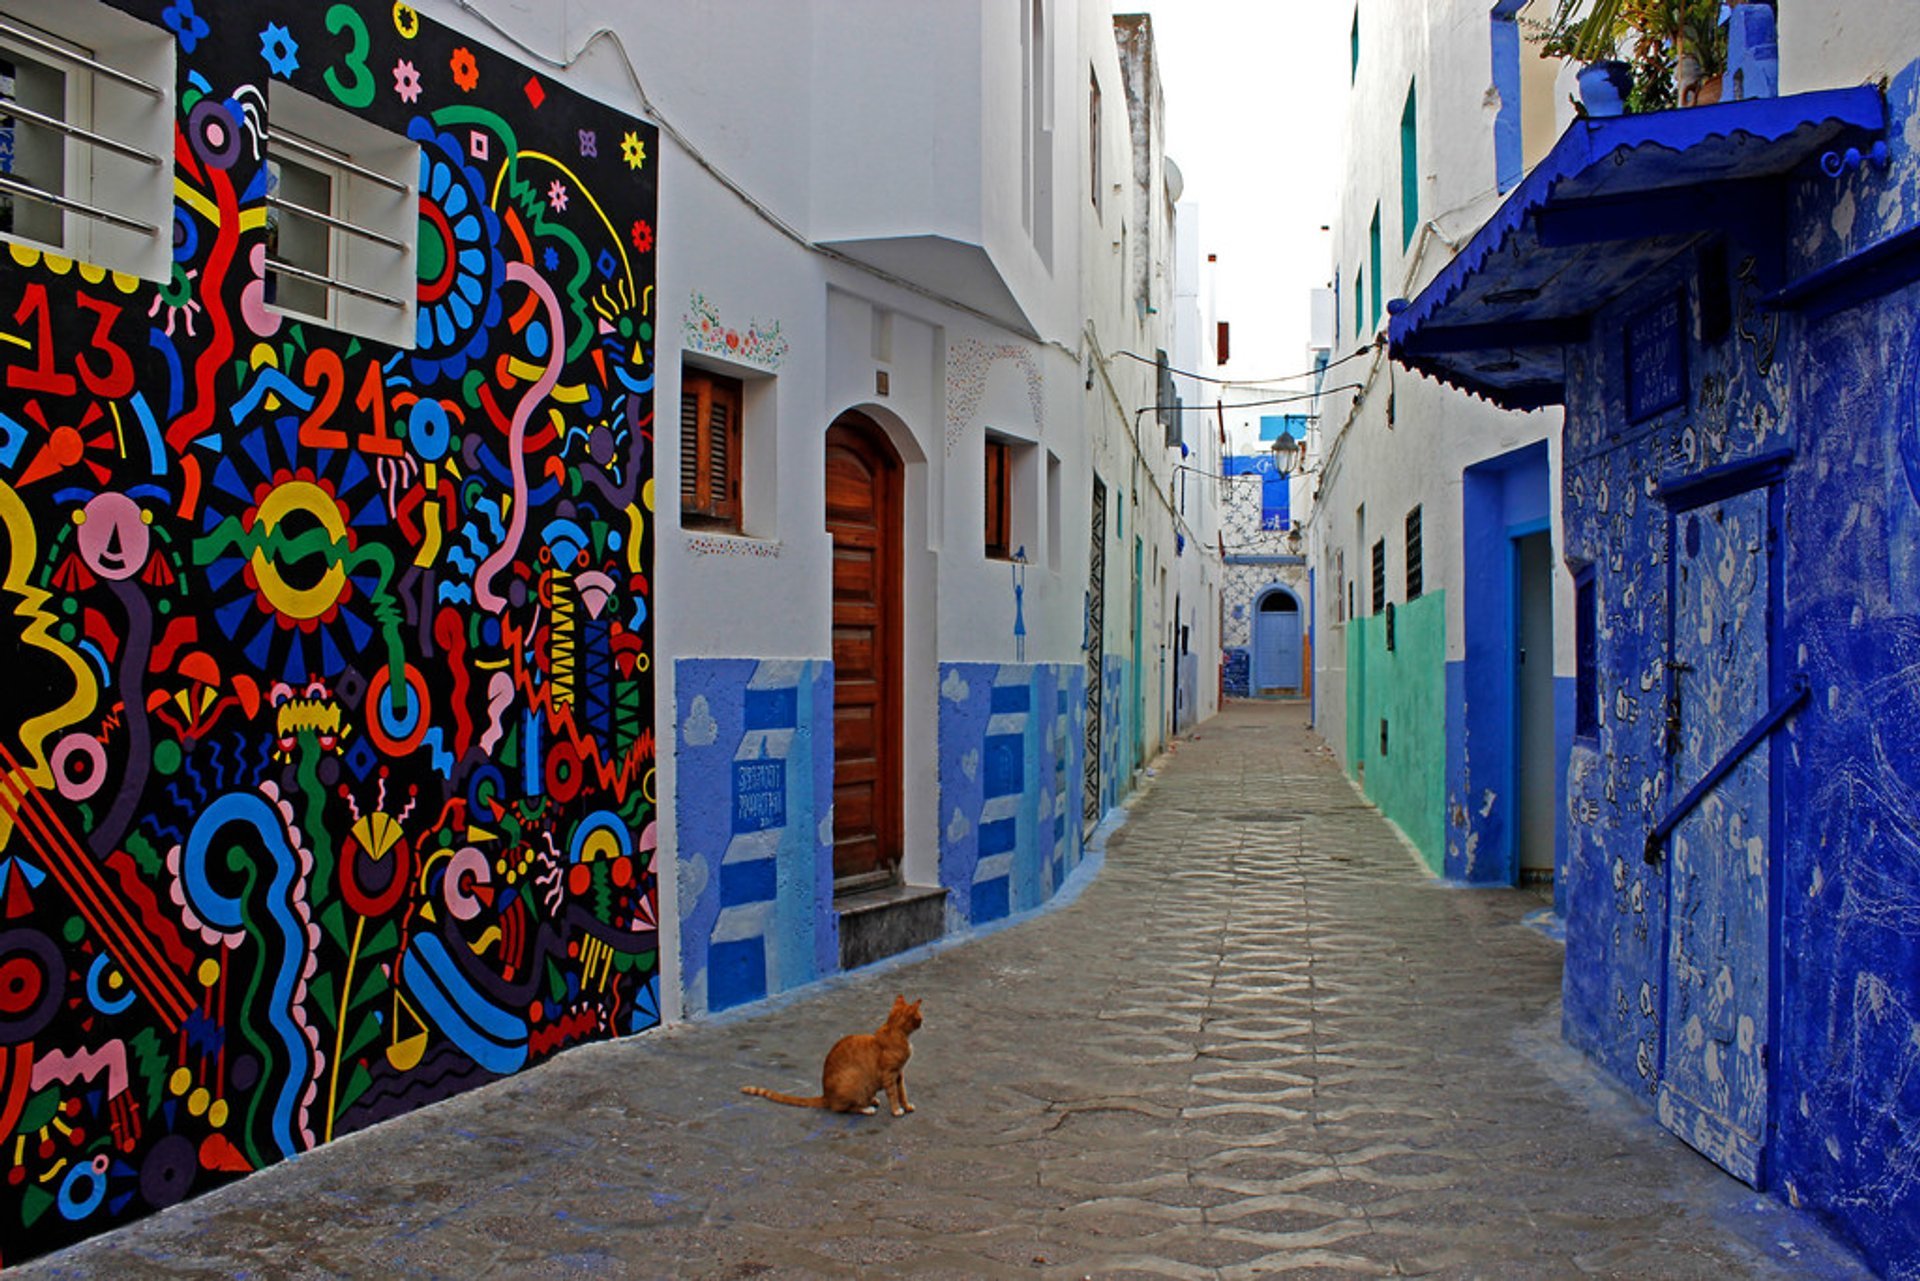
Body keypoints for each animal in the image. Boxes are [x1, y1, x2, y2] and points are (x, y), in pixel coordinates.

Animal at [737, 990, 925, 1113]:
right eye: (920, 1018)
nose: (923, 1022)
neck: (895, 1031)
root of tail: (825, 1095)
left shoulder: (899, 1073)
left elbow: (902, 1092)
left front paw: (906, 1106)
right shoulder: (889, 1074)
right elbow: (893, 1094)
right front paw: (897, 1110)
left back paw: (872, 1100)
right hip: (854, 1082)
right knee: (845, 1108)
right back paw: (867, 1108)